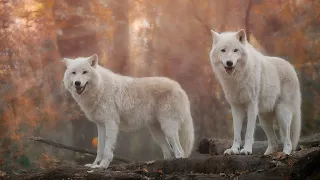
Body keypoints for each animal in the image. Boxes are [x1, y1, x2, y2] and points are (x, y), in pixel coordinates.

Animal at [61, 54, 194, 169]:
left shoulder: (111, 123)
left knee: (180, 152)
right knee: (169, 153)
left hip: (168, 129)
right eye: (73, 73)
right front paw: (95, 165)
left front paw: (103, 166)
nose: (77, 83)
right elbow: (99, 149)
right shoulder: (101, 125)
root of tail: (179, 87)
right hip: (157, 132)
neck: (101, 88)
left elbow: (107, 149)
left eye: (85, 72)